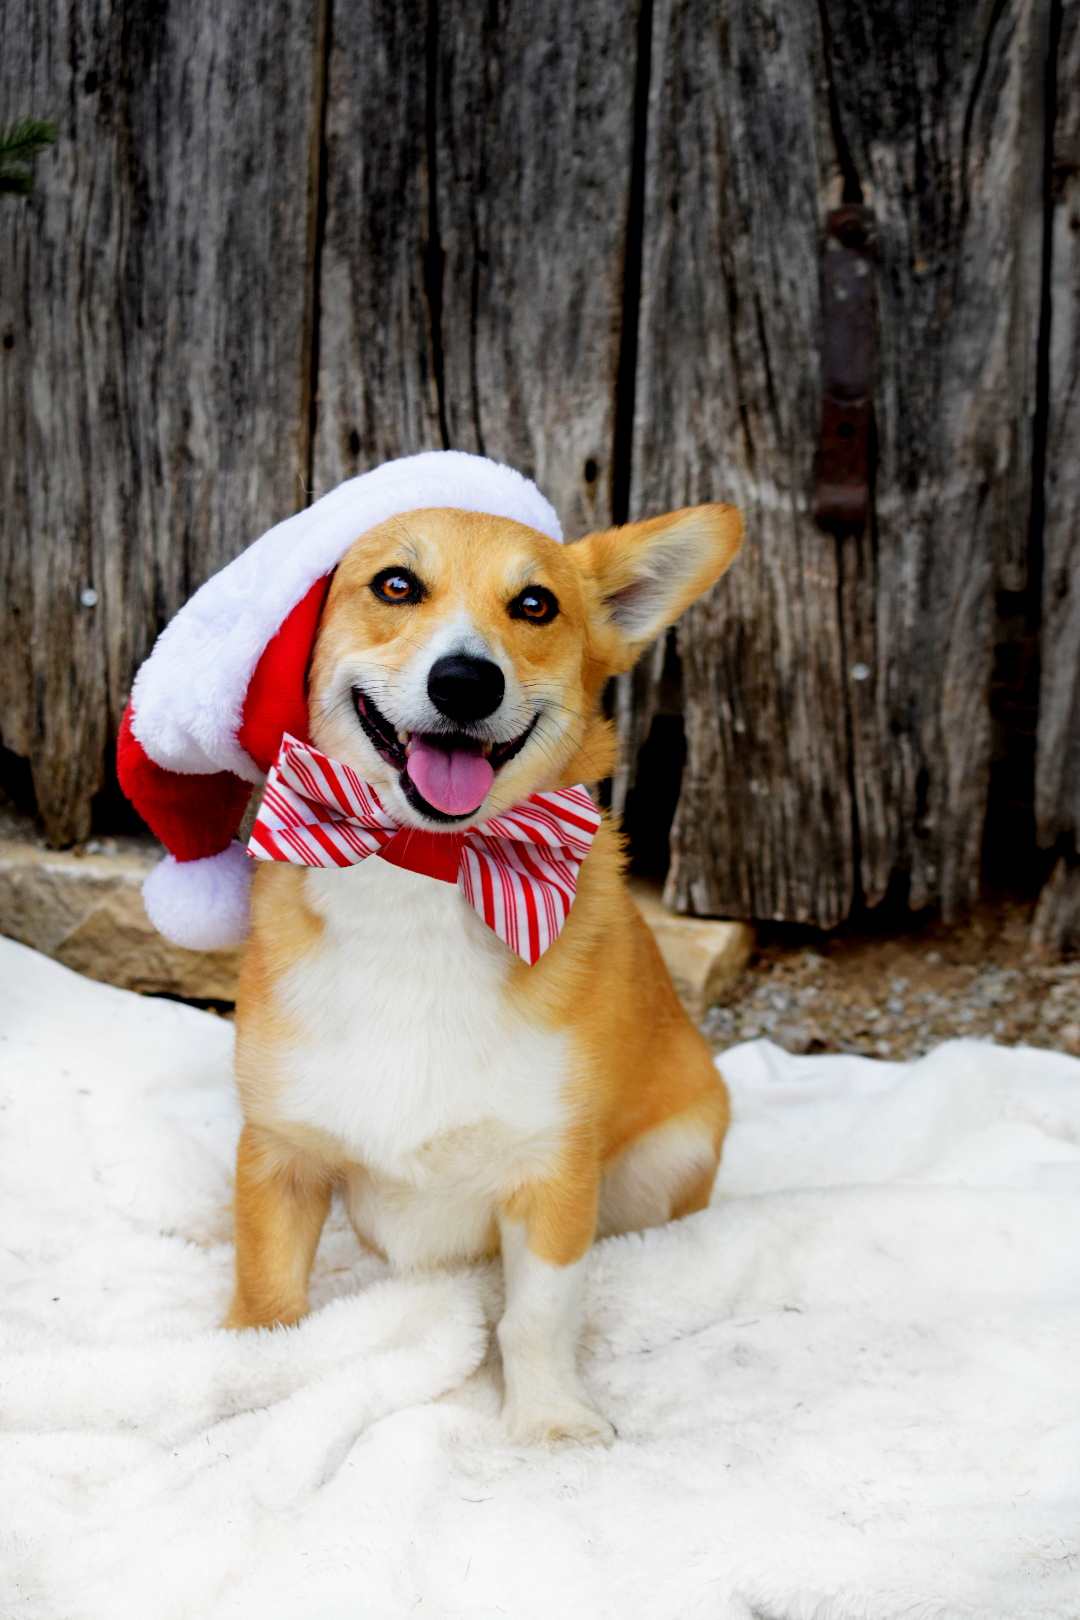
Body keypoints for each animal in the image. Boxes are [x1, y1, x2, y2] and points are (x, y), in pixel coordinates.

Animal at [226, 498, 744, 1451]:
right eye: (395, 584)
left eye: (535, 605)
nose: (467, 682)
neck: (428, 871)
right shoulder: (280, 1153)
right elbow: (268, 1296)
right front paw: (250, 1381)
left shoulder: (553, 1174)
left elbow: (535, 1316)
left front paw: (549, 1419)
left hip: (670, 1158)